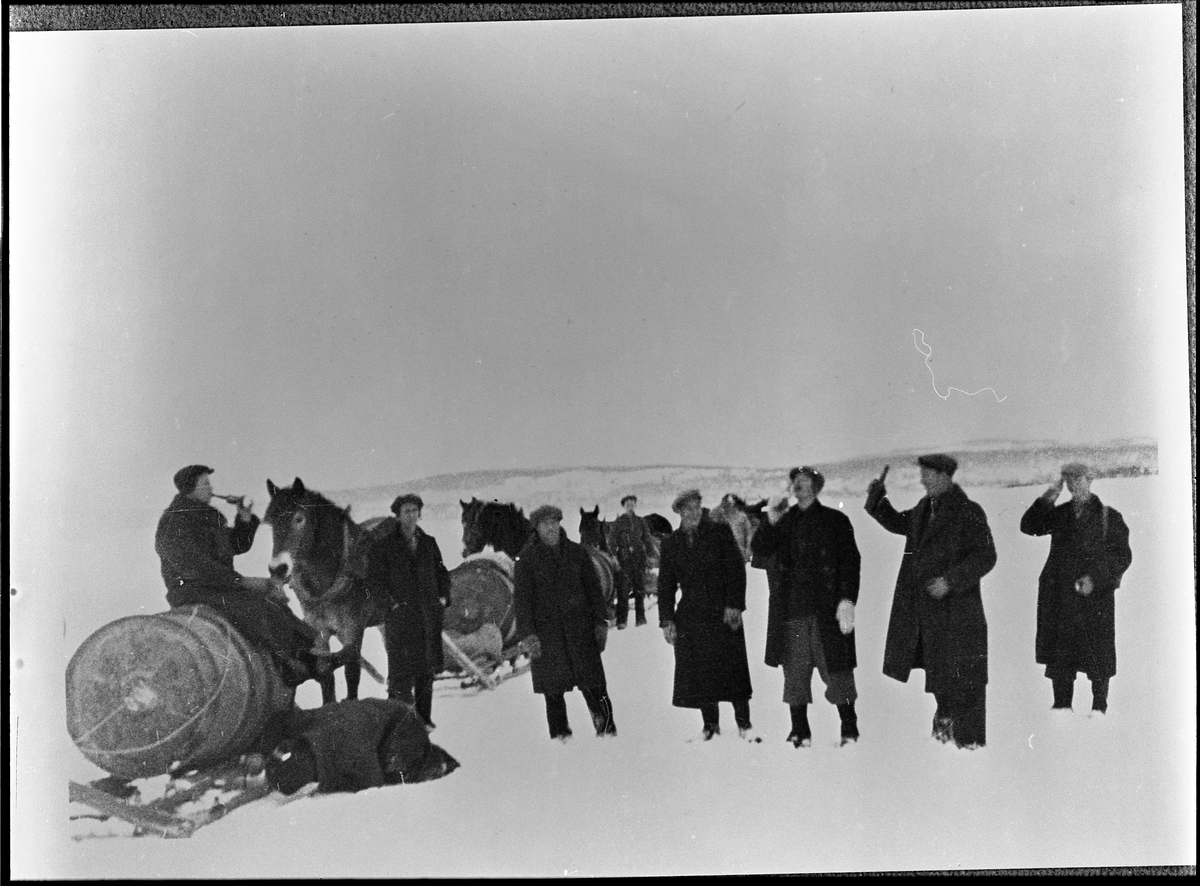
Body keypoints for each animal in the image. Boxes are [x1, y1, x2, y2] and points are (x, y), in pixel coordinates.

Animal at [265, 475, 391, 705]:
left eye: (299, 519)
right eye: (271, 522)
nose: (278, 568)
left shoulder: (353, 630)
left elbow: (349, 672)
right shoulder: (320, 631)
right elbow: (327, 682)